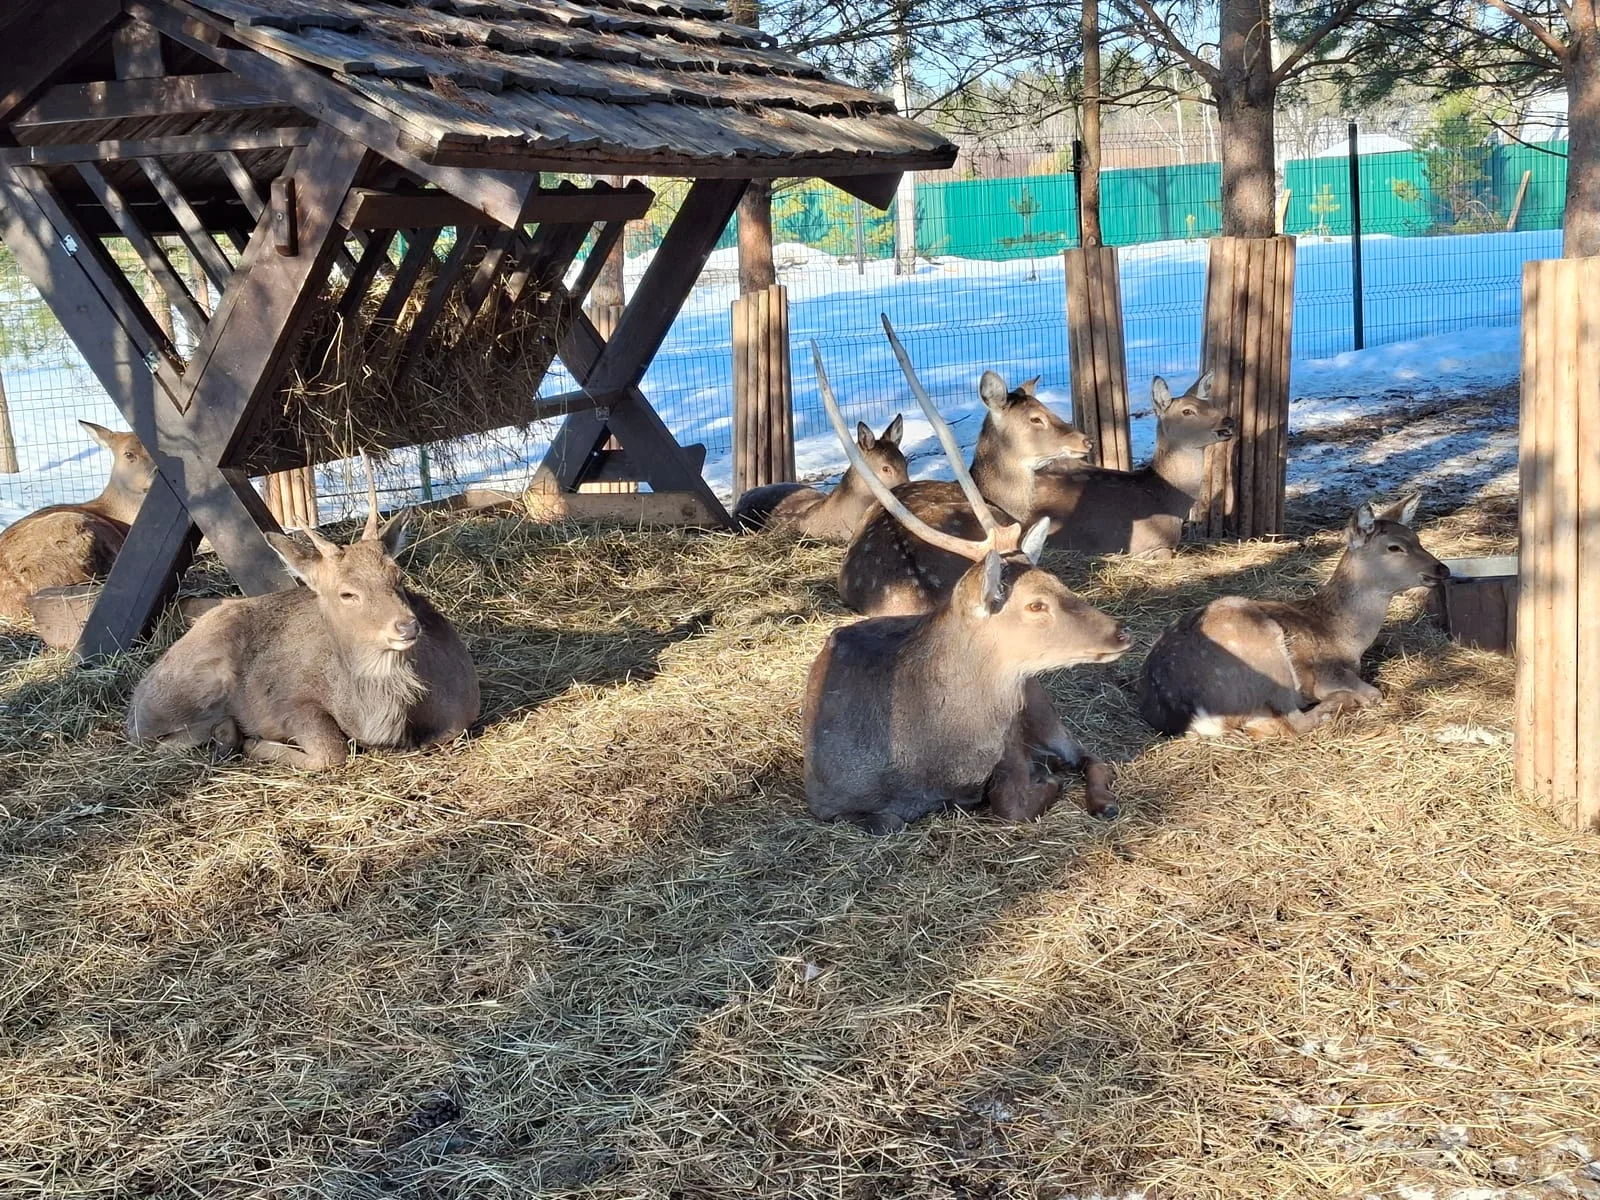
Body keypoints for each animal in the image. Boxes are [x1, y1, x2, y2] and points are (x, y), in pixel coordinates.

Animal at [127, 477, 479, 771]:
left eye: (398, 577)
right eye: (347, 593)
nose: (407, 626)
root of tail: (138, 696)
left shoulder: (462, 711)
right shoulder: (287, 702)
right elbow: (331, 752)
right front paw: (256, 744)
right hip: (189, 686)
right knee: (153, 741)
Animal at [1138, 493, 1450, 739]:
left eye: (1417, 539)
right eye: (1394, 547)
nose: (1442, 569)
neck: (1346, 637)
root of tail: (1191, 713)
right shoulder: (1328, 672)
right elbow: (1372, 692)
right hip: (1266, 659)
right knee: (1290, 723)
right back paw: (1338, 703)